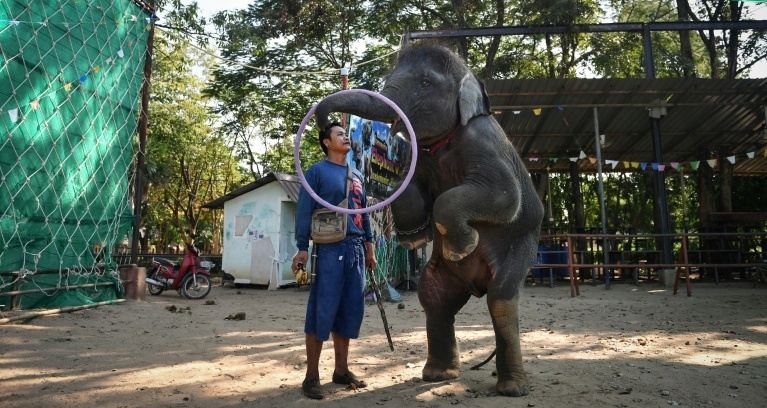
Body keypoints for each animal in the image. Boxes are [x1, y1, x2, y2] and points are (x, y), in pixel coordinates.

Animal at [314, 44, 544, 397]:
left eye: (424, 83)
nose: (327, 125)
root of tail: (475, 286)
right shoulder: (416, 157)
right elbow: (406, 189)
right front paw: (415, 236)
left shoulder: (484, 143)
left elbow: (506, 196)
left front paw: (463, 245)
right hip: (442, 280)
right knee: (433, 299)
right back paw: (437, 375)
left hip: (523, 247)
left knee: (501, 298)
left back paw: (512, 388)